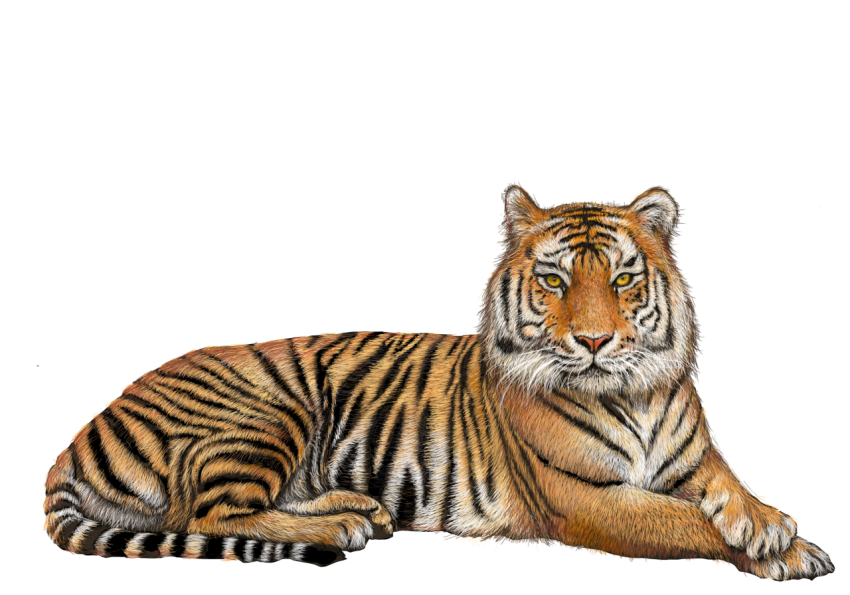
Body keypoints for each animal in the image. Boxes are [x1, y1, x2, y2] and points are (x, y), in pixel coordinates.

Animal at [42, 183, 834, 581]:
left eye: (621, 280)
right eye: (554, 281)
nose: (594, 341)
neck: (634, 392)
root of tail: (79, 434)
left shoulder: (695, 458)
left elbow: (729, 485)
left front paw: (777, 530)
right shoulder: (586, 499)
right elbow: (683, 520)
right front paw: (781, 548)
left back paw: (360, 507)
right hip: (264, 410)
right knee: (210, 514)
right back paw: (340, 525)